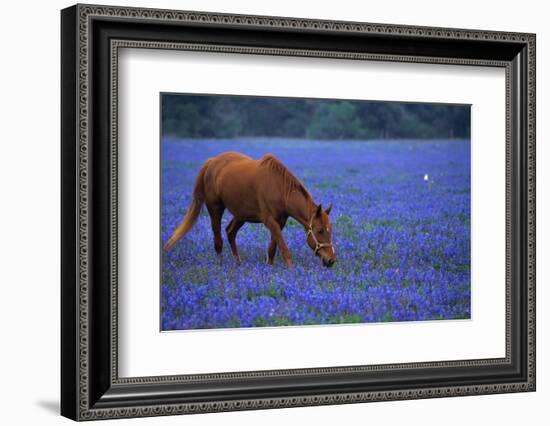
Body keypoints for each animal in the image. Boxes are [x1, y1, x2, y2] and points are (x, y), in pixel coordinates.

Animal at [164, 151, 336, 268]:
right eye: (320, 230)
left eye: (330, 230)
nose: (331, 260)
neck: (279, 189)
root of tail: (212, 162)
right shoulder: (269, 221)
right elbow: (283, 248)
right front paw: (291, 271)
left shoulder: (280, 222)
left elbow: (272, 248)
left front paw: (269, 268)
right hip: (215, 209)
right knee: (218, 240)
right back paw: (220, 266)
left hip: (241, 215)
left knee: (230, 232)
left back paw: (238, 263)